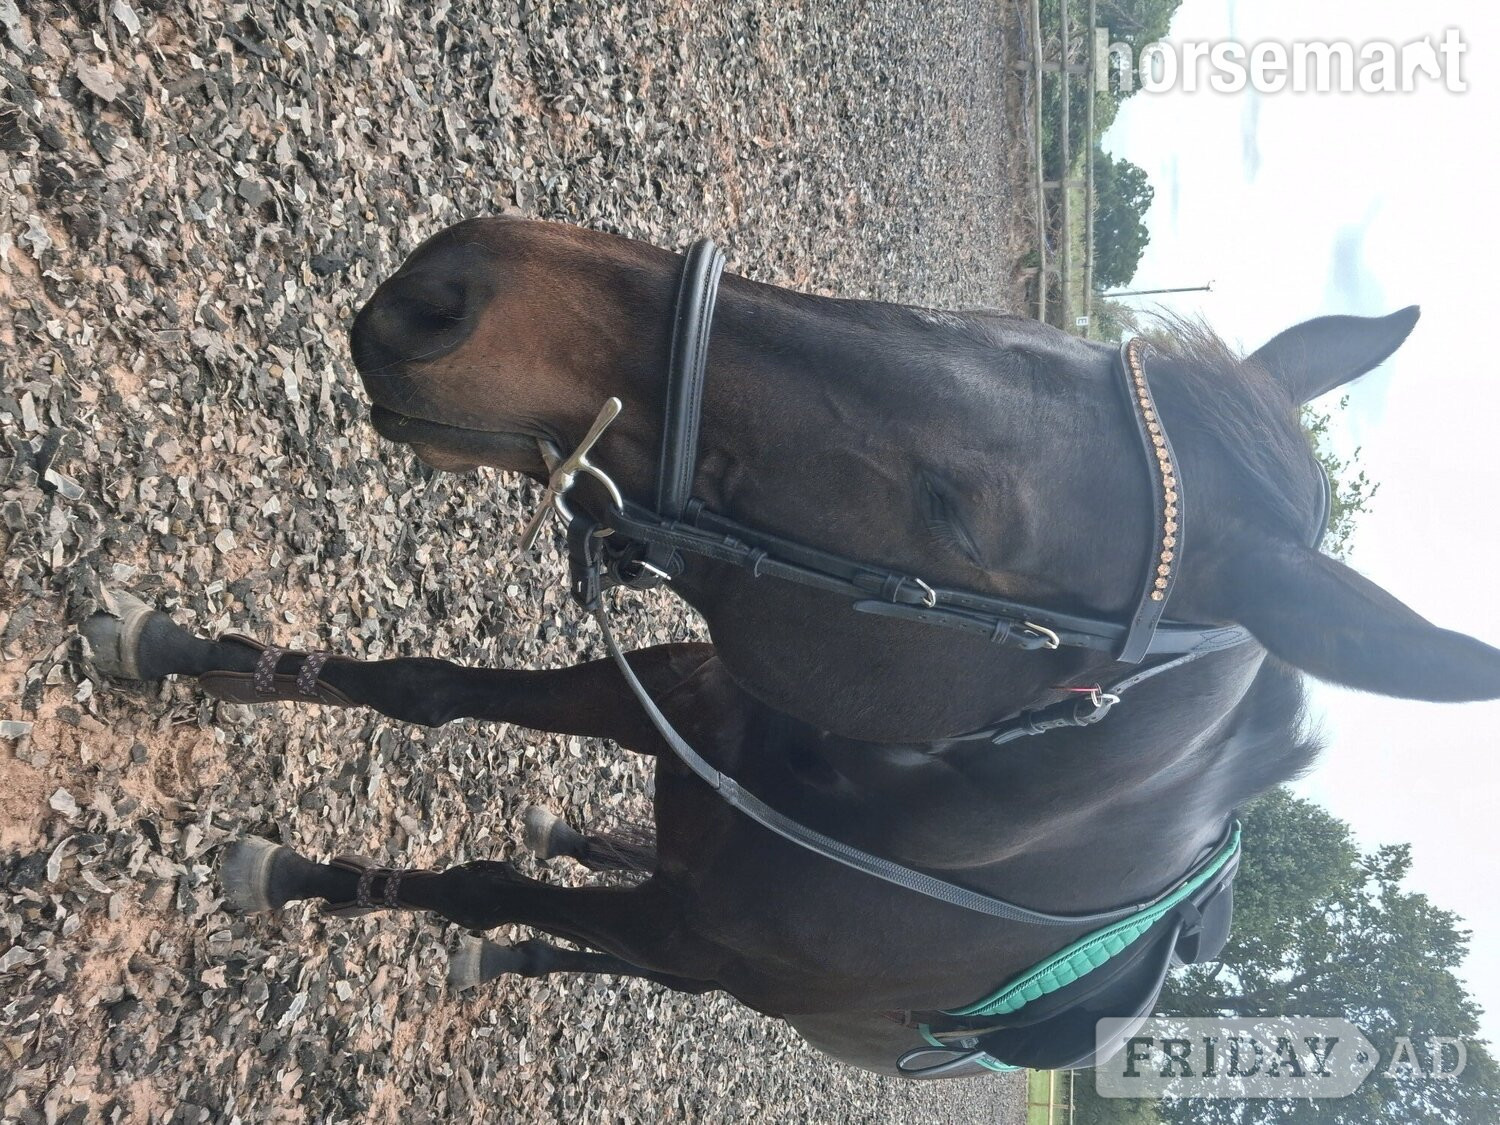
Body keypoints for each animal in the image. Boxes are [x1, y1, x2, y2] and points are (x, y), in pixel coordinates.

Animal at [83, 217, 1500, 1078]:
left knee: (603, 946)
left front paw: (303, 878)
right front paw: (191, 652)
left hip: (705, 968)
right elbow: (429, 689)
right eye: (1016, 332)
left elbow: (479, 885)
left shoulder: (697, 935)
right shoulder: (686, 689)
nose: (457, 285)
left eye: (955, 509)